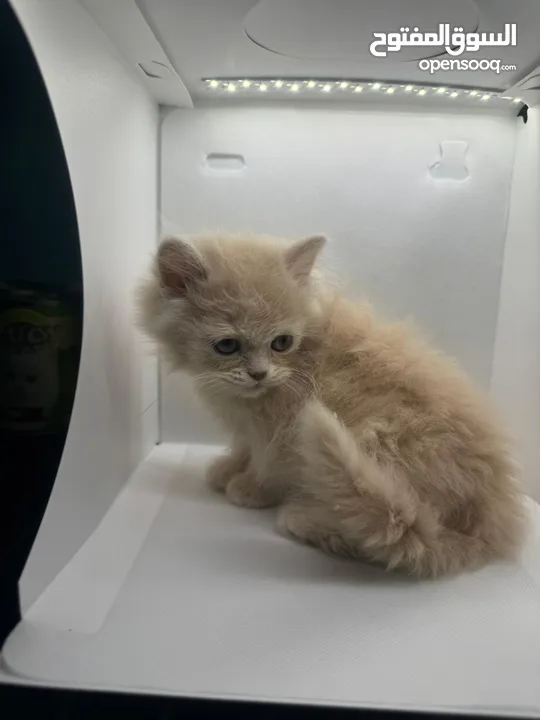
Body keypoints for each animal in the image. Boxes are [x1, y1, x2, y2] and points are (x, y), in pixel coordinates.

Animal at [138, 236, 528, 580]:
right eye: (227, 345)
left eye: (282, 342)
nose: (259, 374)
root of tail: (486, 529)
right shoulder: (251, 425)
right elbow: (244, 448)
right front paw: (227, 469)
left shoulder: (284, 425)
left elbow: (268, 464)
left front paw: (249, 489)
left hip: (377, 447)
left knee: (380, 533)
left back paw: (304, 518)